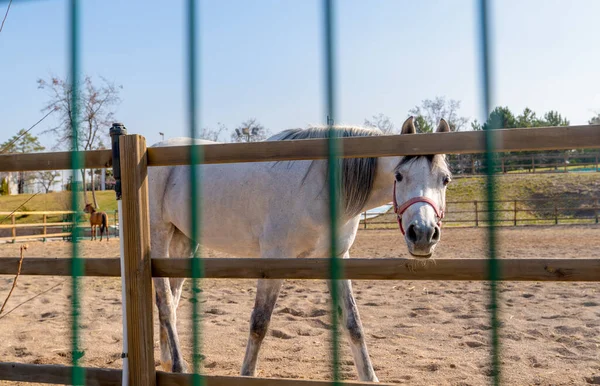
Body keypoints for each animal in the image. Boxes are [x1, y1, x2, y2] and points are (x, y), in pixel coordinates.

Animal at [149, 116, 450, 382]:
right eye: (399, 175)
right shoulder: (274, 260)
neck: (322, 186)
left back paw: (167, 361)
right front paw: (246, 374)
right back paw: (178, 366)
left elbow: (353, 324)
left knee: (172, 297)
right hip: (160, 236)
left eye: (445, 179)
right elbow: (259, 323)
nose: (423, 234)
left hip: (185, 241)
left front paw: (370, 378)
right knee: (165, 301)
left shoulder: (338, 258)